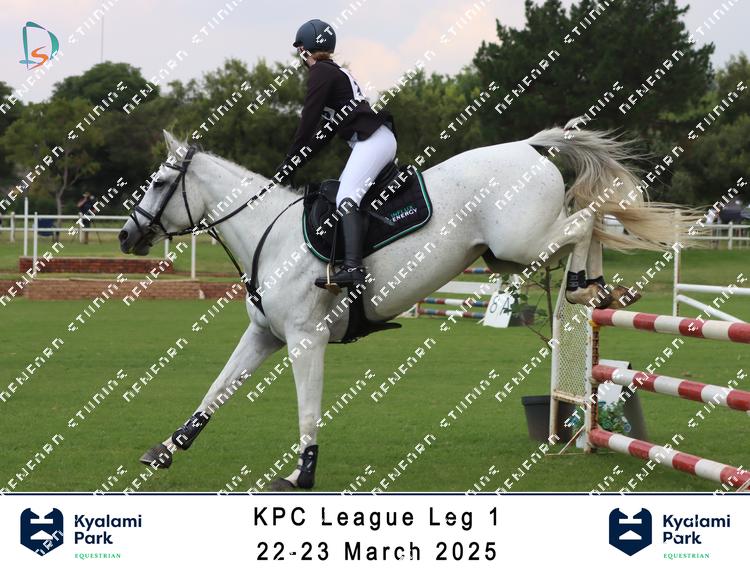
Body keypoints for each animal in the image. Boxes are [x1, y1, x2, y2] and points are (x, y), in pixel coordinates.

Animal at [118, 127, 688, 490]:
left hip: (523, 242)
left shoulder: (305, 340)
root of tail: (527, 146)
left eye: (160, 183)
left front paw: (302, 474)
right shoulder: (265, 335)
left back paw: (581, 286)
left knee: (589, 218)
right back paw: (595, 288)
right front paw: (167, 448)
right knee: (590, 217)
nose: (126, 236)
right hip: (511, 252)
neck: (269, 235)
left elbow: (307, 410)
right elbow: (215, 391)